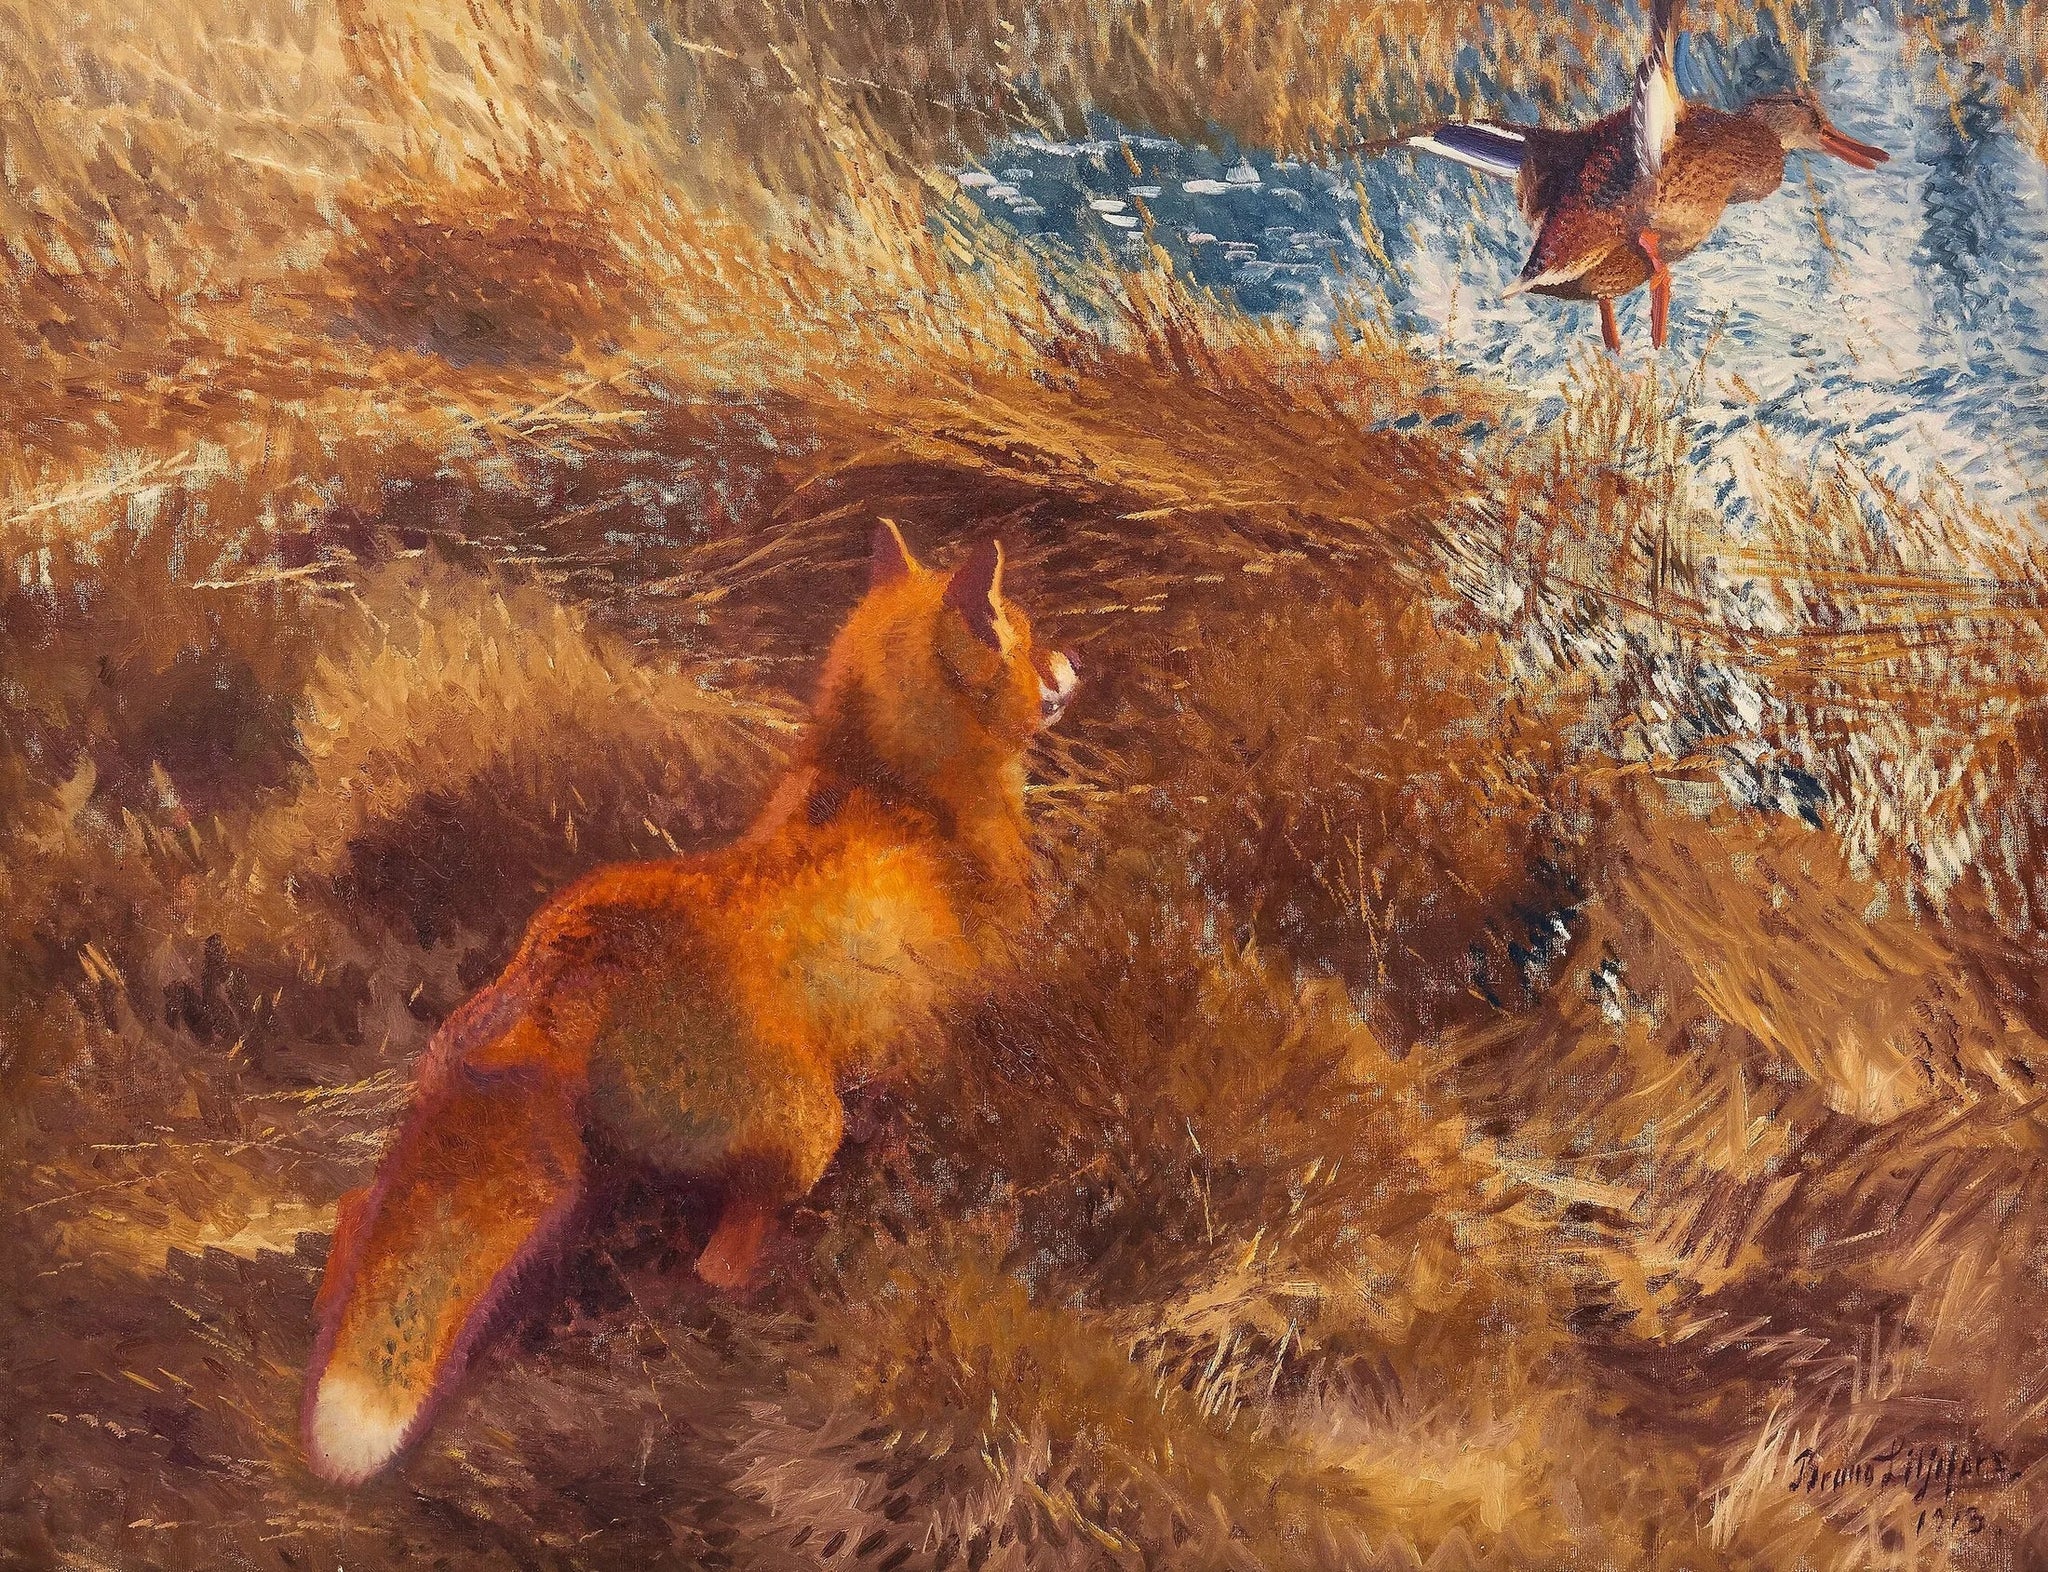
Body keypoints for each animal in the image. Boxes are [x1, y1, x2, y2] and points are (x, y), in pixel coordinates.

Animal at [302, 523, 1078, 1484]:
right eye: (1025, 634)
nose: (1074, 664)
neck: (890, 788)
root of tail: (571, 959)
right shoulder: (948, 1022)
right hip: (802, 1131)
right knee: (724, 1264)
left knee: (358, 1214)